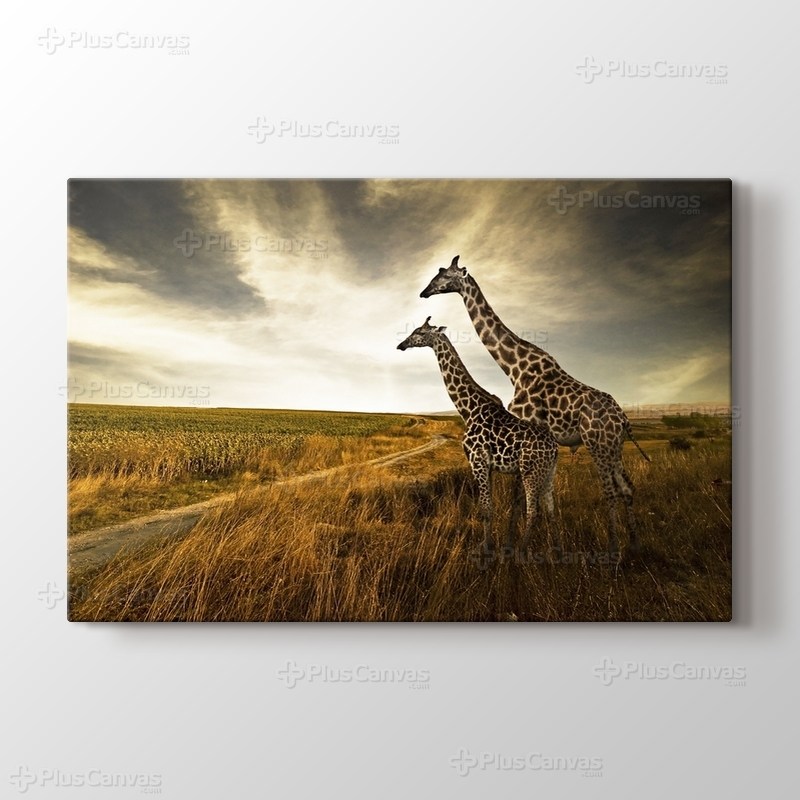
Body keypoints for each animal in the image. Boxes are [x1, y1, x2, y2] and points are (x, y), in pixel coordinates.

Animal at [397, 317, 559, 557]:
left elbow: (485, 508)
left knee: (533, 511)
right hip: (548, 473)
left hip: (531, 471)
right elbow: (488, 506)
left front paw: (485, 550)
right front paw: (488, 545)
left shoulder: (477, 460)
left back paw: (521, 552)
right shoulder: (488, 465)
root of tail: (555, 449)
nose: (401, 345)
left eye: (419, 332)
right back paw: (555, 548)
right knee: (550, 510)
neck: (468, 409)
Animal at [420, 256, 650, 558]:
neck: (513, 366)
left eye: (444, 275)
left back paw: (614, 548)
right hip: (614, 447)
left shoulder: (525, 426)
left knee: (610, 490)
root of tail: (624, 419)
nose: (424, 292)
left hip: (597, 444)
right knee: (627, 487)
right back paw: (635, 545)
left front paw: (511, 545)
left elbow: (519, 497)